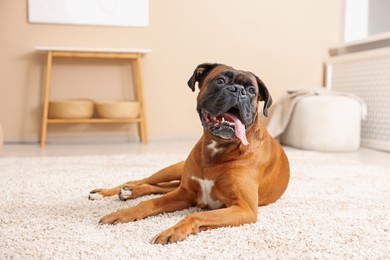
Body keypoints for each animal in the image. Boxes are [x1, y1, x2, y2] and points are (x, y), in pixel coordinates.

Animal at [89, 62, 290, 244]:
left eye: (251, 90)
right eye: (220, 80)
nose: (238, 90)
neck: (218, 147)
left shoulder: (244, 208)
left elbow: (195, 216)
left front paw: (172, 231)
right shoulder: (185, 194)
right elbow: (150, 202)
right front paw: (124, 213)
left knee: (160, 186)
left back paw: (129, 192)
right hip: (175, 171)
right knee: (143, 181)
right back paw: (109, 192)